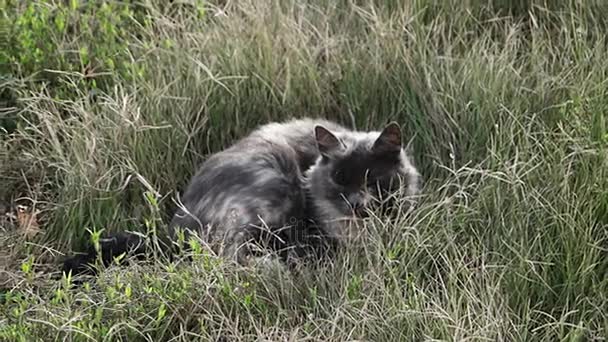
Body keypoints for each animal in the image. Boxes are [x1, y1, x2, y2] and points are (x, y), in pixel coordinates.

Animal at [63, 117, 422, 276]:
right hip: (272, 188)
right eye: (339, 179)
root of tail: (171, 232)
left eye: (373, 180)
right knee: (229, 255)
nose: (356, 204)